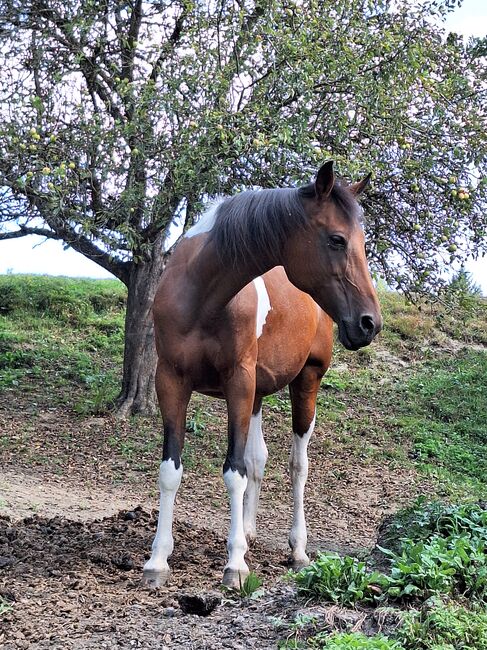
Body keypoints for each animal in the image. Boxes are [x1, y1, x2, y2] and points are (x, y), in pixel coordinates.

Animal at [143, 162, 384, 588]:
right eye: (337, 239)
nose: (369, 323)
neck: (200, 294)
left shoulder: (238, 383)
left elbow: (234, 471)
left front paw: (235, 564)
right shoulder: (171, 382)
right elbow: (172, 470)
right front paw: (158, 561)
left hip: (305, 382)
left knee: (297, 466)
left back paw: (298, 550)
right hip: (256, 394)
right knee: (259, 458)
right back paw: (249, 531)